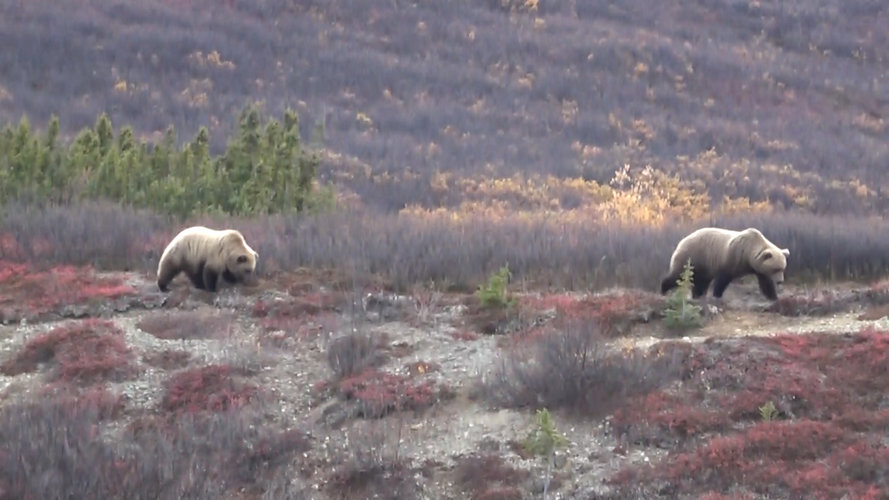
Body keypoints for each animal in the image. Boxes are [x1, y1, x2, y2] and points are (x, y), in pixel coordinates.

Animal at [660, 227, 790, 301]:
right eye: (775, 269)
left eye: (782, 268)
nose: (780, 281)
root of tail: (680, 242)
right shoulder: (731, 257)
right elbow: (723, 279)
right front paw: (717, 295)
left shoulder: (758, 268)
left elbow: (765, 282)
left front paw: (773, 297)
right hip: (692, 257)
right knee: (677, 275)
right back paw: (663, 290)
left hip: (703, 266)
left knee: (701, 282)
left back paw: (698, 295)